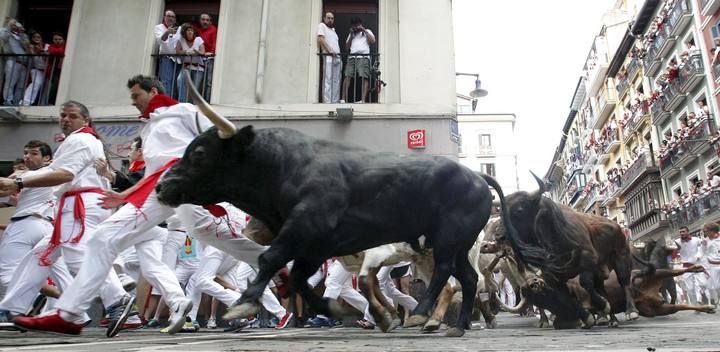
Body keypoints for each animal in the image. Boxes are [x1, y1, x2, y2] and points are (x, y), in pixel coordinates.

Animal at [156, 124, 516, 336]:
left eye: (199, 153)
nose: (161, 186)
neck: (284, 164)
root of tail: (476, 175)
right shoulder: (316, 248)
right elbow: (301, 282)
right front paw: (356, 312)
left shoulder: (308, 230)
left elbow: (271, 260)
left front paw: (243, 304)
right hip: (458, 245)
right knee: (467, 279)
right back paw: (457, 325)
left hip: (448, 239)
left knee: (446, 274)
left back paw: (422, 315)